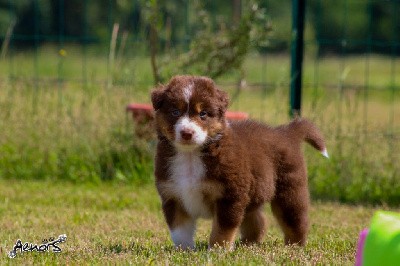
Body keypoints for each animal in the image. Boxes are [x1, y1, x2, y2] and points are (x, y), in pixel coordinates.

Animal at [150, 75, 328, 249]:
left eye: (203, 114)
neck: (190, 156)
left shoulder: (230, 196)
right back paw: (247, 244)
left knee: (296, 221)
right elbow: (179, 231)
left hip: (289, 190)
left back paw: (294, 246)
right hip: (254, 194)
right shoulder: (173, 196)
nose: (187, 133)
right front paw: (184, 250)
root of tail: (287, 132)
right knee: (257, 221)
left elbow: (223, 229)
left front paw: (218, 250)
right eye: (175, 112)